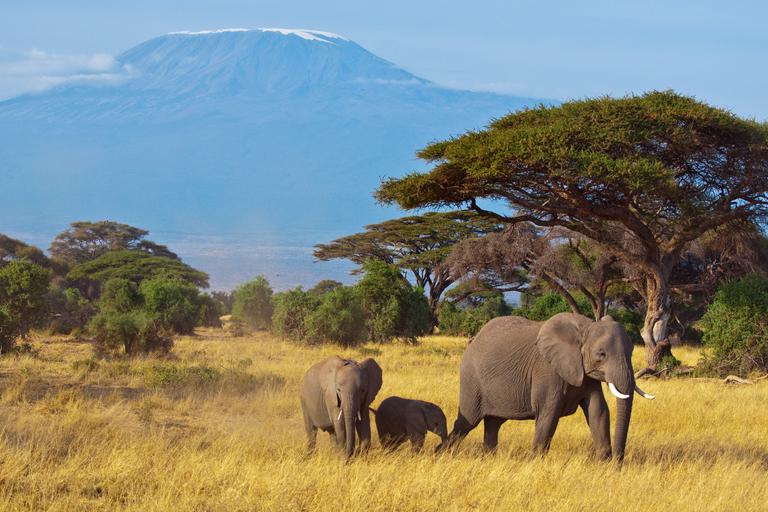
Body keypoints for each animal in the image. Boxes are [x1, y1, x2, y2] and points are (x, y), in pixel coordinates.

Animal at [438, 313, 654, 461]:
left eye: (632, 351)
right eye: (601, 354)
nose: (618, 461)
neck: (585, 328)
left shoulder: (585, 374)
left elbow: (598, 411)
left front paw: (604, 464)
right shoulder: (547, 369)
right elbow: (548, 412)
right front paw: (536, 462)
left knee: (493, 424)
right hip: (472, 380)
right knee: (466, 423)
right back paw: (439, 454)